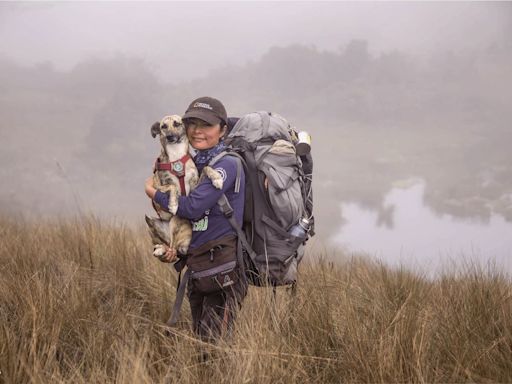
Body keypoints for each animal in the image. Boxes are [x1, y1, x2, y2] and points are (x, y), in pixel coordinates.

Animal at [145, 114, 223, 258]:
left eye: (177, 123)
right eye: (163, 126)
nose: (170, 136)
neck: (176, 156)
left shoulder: (195, 185)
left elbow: (206, 168)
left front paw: (217, 178)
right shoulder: (158, 186)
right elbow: (173, 187)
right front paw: (173, 204)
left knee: (172, 247)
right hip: (155, 221)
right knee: (170, 246)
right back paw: (160, 249)